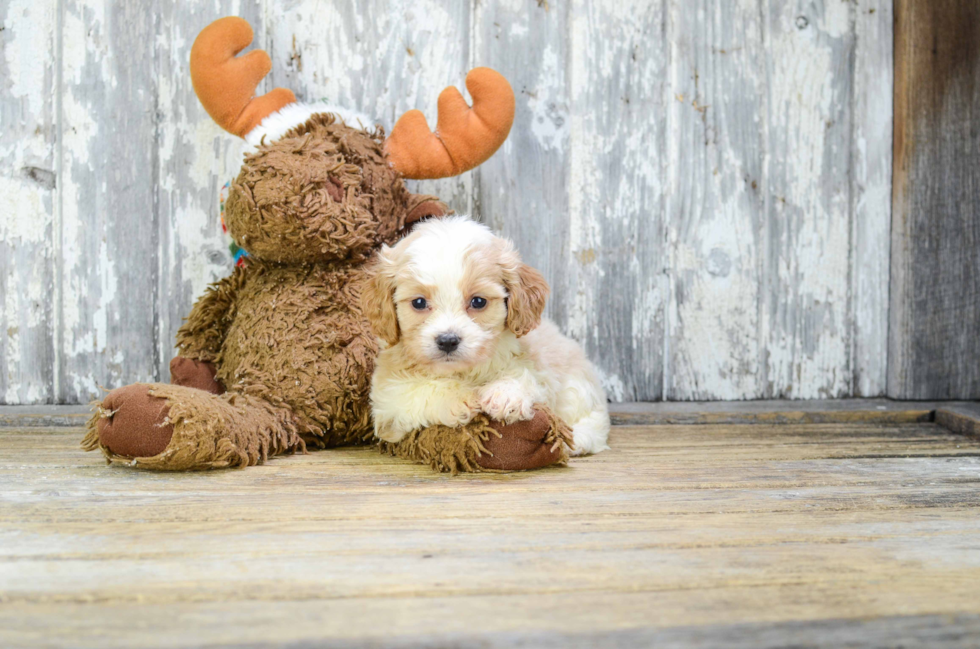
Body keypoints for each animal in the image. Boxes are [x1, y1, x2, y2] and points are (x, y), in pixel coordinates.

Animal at [364, 215, 608, 454]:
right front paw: (459, 398)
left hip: (578, 388)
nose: (448, 341)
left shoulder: (535, 366)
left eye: (478, 301)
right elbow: (418, 390)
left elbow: (524, 375)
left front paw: (505, 394)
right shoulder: (387, 398)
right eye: (419, 303)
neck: (463, 372)